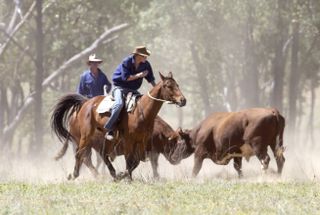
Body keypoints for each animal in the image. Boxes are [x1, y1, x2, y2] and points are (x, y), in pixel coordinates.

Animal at [51, 72, 186, 180]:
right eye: (168, 85)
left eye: (177, 85)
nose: (183, 100)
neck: (141, 111)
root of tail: (85, 103)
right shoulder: (129, 142)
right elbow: (130, 160)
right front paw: (126, 177)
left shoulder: (142, 142)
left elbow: (137, 161)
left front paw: (123, 175)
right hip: (84, 138)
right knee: (82, 155)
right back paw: (78, 175)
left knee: (99, 156)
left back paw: (110, 174)